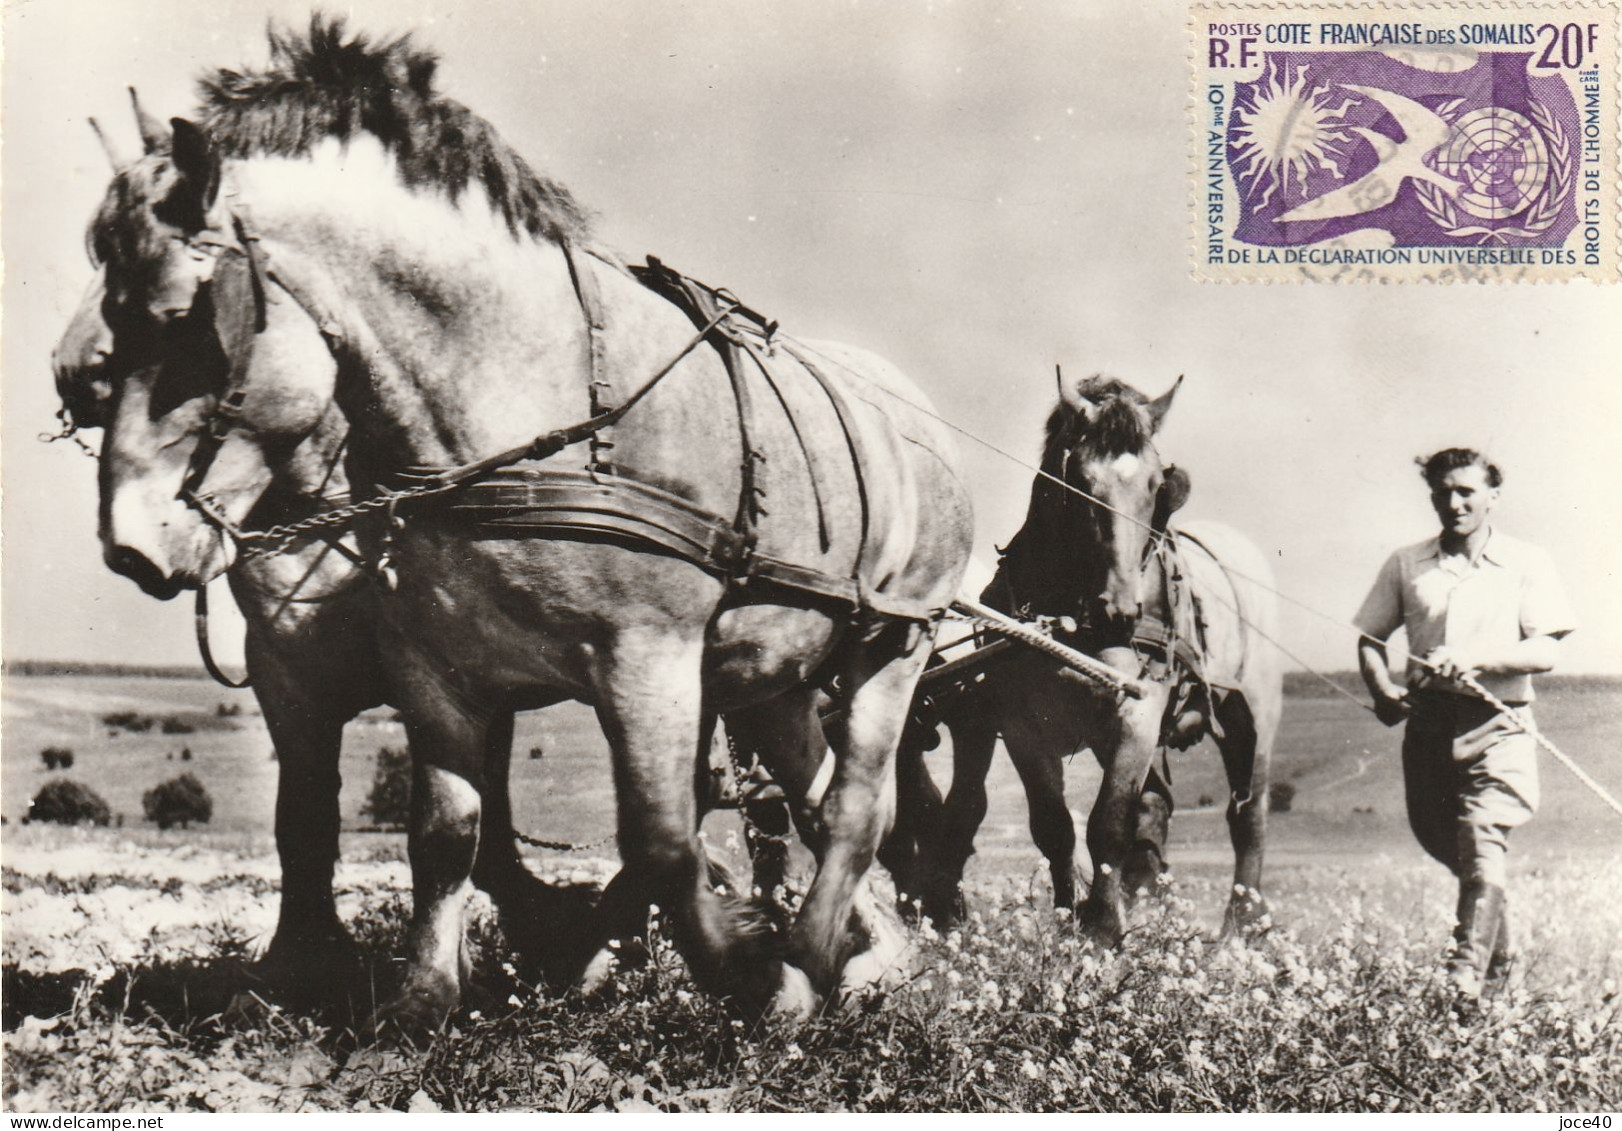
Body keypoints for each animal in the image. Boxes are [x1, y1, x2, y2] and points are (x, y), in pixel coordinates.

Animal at [69, 17, 966, 1025]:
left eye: (182, 318)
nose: (132, 544)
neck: (523, 405)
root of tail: (922, 418)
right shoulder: (429, 668)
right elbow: (443, 830)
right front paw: (421, 1002)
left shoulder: (647, 657)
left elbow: (663, 835)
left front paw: (742, 971)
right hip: (773, 672)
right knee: (812, 793)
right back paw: (866, 957)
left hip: (895, 643)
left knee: (856, 806)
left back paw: (806, 961)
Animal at [914, 374, 1278, 941]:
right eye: (1080, 483)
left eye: (1154, 486)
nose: (1119, 612)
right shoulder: (1022, 726)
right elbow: (1054, 825)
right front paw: (1067, 918)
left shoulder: (1138, 710)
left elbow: (1108, 821)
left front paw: (1104, 926)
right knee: (1155, 806)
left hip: (1253, 718)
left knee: (1249, 816)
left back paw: (1243, 924)